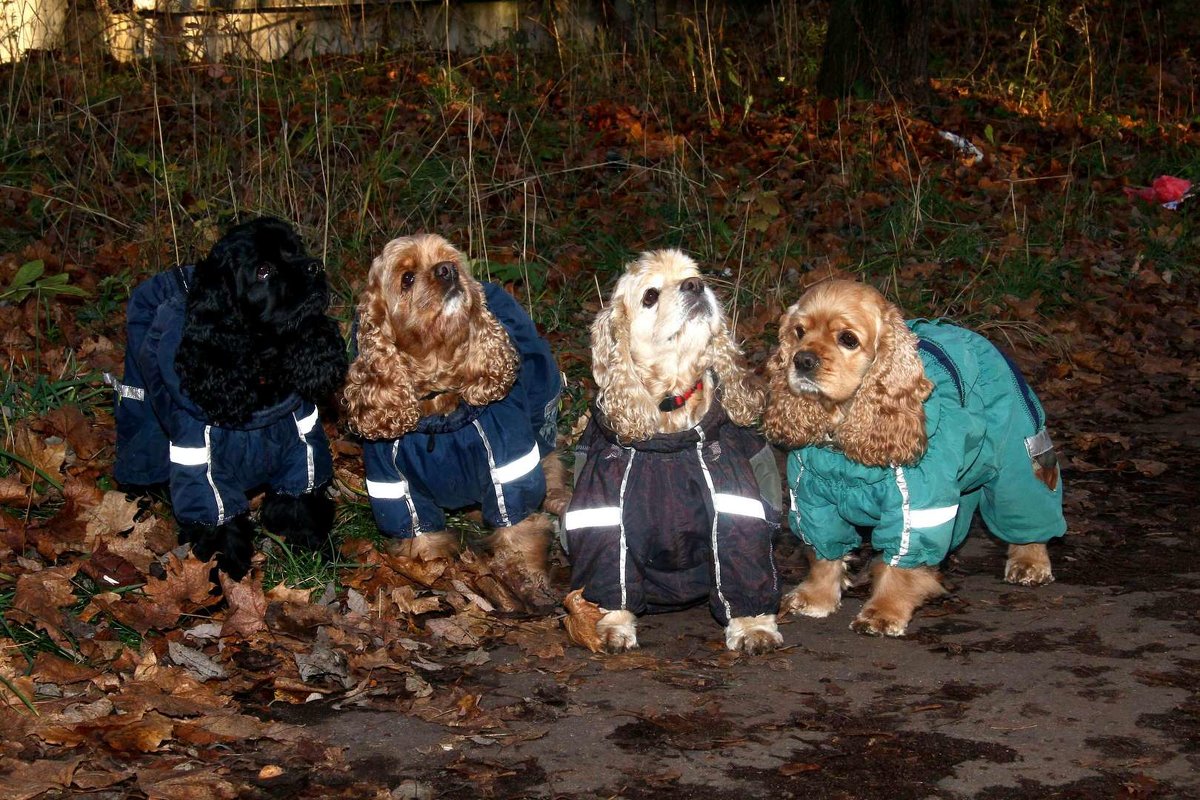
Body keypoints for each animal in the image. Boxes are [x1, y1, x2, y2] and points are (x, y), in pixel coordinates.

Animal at [111, 217, 348, 582]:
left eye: (296, 249)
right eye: (263, 270)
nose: (315, 266)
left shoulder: (302, 449)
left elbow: (300, 505)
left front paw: (319, 552)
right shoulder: (205, 472)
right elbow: (222, 528)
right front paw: (228, 578)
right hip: (138, 401)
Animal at [338, 231, 561, 599]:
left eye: (450, 260)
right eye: (407, 278)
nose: (447, 271)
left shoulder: (508, 464)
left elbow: (518, 527)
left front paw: (527, 579)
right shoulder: (396, 486)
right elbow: (421, 537)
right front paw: (431, 575)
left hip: (541, 409)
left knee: (551, 458)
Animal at [763, 281, 1065, 638]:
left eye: (848, 339)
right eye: (799, 332)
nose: (802, 360)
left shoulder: (916, 506)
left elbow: (903, 562)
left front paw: (883, 612)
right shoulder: (812, 498)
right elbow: (824, 552)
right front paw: (816, 597)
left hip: (1016, 456)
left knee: (1028, 510)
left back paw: (1030, 562)